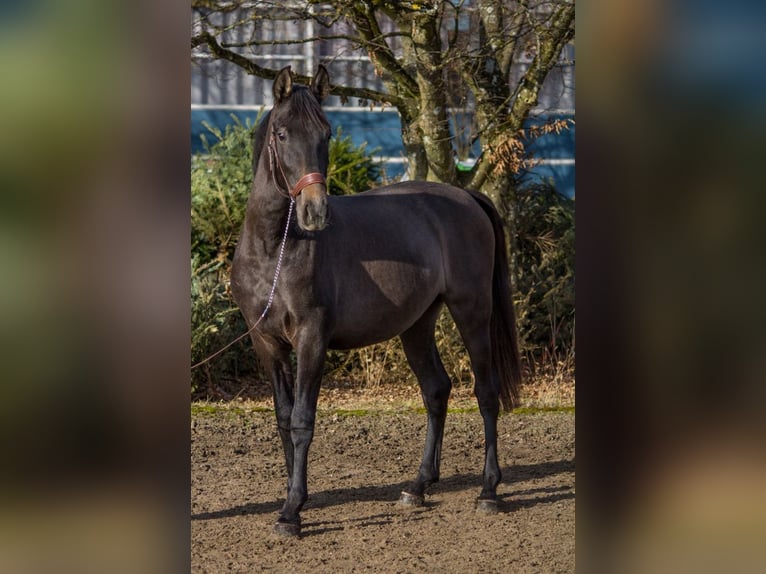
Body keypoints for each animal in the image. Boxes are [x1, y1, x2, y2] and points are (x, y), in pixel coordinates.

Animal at [231, 67, 524, 540]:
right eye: (281, 133)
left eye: (327, 133)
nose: (315, 212)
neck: (275, 249)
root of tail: (467, 198)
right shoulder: (267, 344)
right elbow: (282, 418)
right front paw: (293, 499)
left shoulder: (312, 339)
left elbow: (302, 421)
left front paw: (293, 511)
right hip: (417, 324)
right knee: (436, 389)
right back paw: (418, 487)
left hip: (472, 312)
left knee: (486, 391)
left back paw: (488, 491)